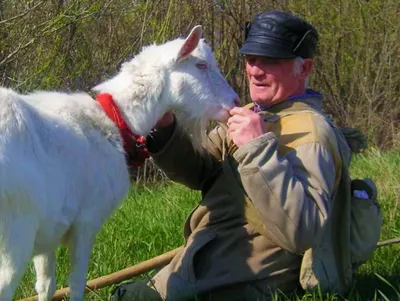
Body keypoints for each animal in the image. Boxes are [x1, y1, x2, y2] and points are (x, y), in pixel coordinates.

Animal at [0, 26, 238, 300]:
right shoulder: (87, 220)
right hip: (15, 235)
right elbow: (77, 283)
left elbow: (47, 285)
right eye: (201, 65)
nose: (235, 101)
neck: (115, 121)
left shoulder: (50, 230)